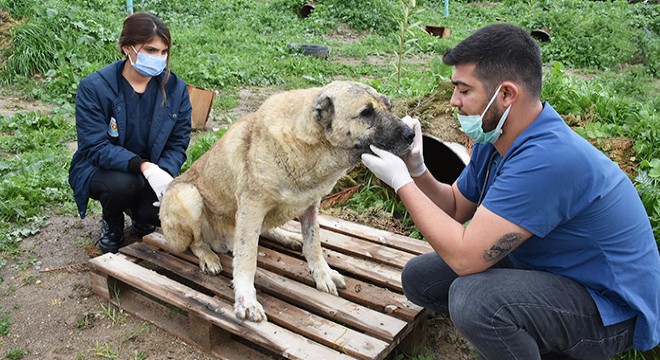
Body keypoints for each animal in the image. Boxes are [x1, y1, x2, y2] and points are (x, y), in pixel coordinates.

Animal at [159, 81, 412, 320]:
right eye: (366, 112)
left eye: (389, 106)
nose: (411, 135)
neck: (308, 147)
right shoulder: (252, 206)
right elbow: (247, 259)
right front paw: (246, 301)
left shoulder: (311, 204)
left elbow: (314, 244)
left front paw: (323, 274)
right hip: (188, 196)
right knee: (197, 243)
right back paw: (208, 256)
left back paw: (288, 237)